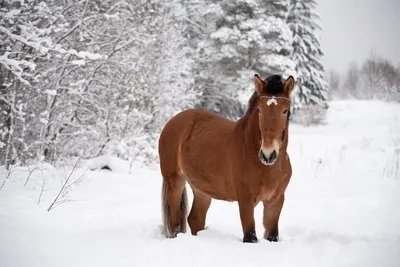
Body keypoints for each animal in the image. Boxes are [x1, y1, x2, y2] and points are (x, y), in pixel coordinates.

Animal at [159, 74, 294, 244]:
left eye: (285, 110)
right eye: (259, 110)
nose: (268, 154)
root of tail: (172, 122)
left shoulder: (276, 201)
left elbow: (272, 235)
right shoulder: (245, 201)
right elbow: (250, 236)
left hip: (201, 189)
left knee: (195, 220)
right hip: (175, 182)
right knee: (175, 221)